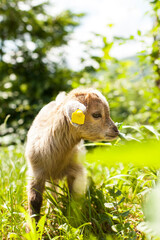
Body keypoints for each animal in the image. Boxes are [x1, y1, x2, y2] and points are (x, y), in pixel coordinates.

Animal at [25, 88, 119, 221]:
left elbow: (72, 198)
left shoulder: (76, 172)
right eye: (96, 114)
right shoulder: (35, 172)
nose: (116, 130)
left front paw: (72, 220)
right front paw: (33, 226)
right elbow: (34, 201)